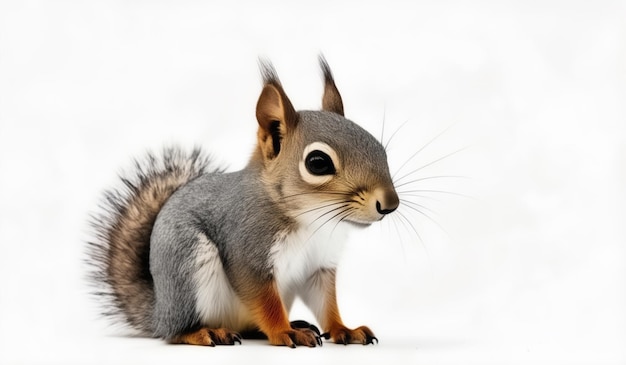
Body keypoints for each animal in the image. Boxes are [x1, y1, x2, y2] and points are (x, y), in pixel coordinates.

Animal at [86, 56, 400, 346]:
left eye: (380, 148)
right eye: (318, 163)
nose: (390, 204)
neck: (311, 221)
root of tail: (160, 312)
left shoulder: (319, 266)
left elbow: (325, 302)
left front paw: (344, 329)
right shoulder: (247, 250)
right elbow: (264, 301)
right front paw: (283, 332)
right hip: (187, 263)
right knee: (176, 333)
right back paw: (207, 332)